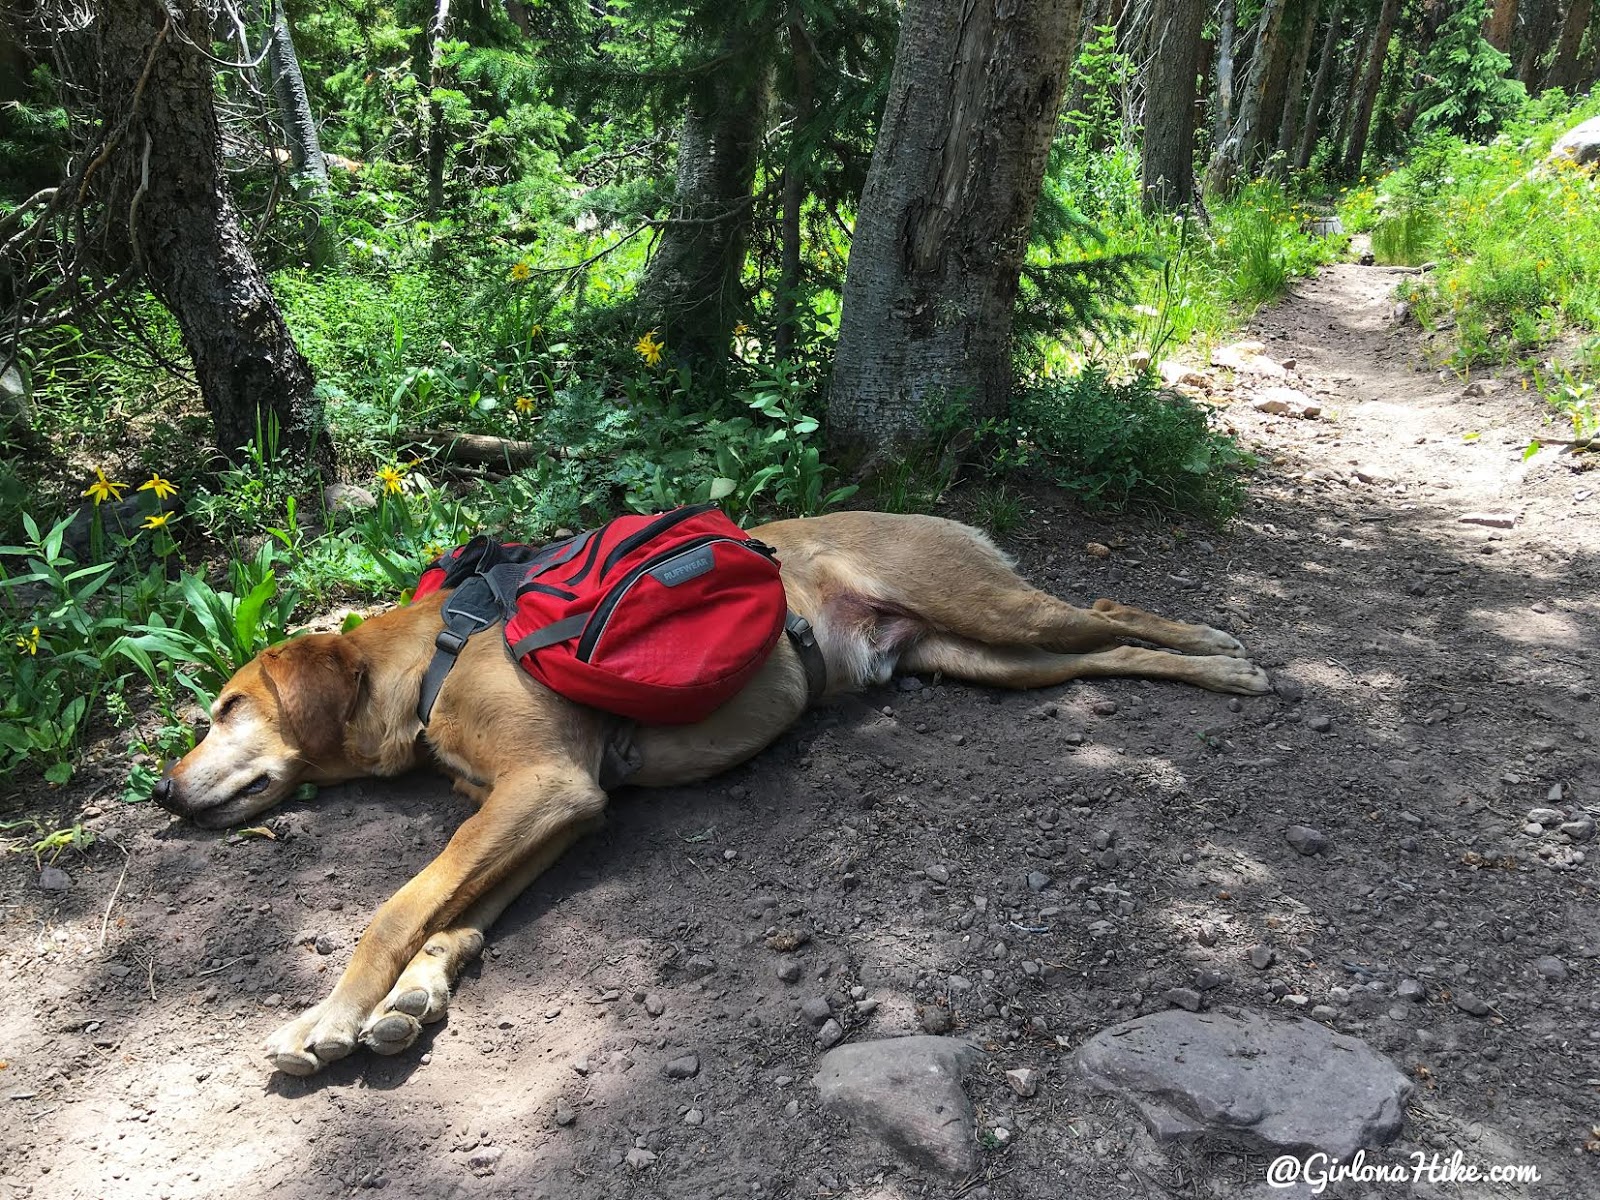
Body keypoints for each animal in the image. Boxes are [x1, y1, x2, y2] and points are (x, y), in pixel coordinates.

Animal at [152, 508, 1273, 1081]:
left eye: (225, 707)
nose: (161, 793)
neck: (434, 659)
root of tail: (929, 509)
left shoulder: (543, 787)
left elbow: (394, 909)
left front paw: (328, 1016)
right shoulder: (557, 810)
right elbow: (455, 918)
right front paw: (413, 1000)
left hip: (998, 614)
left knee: (1107, 607)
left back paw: (1220, 646)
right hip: (986, 661)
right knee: (1104, 652)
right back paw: (1211, 668)